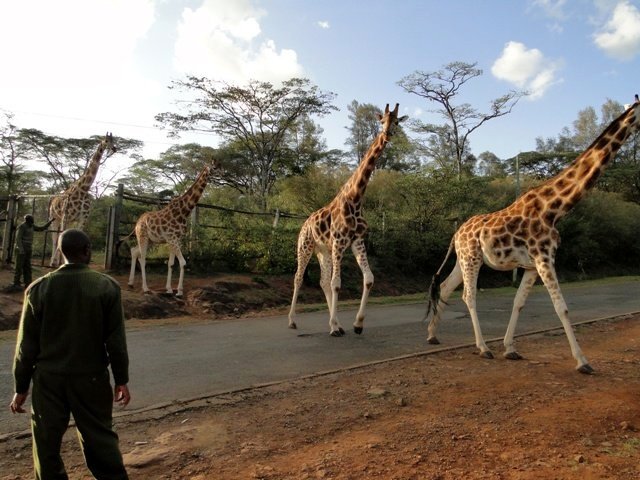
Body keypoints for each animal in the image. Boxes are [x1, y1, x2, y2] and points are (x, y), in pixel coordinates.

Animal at [49, 131, 117, 266]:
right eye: (106, 141)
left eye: (114, 140)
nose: (114, 148)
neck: (83, 189)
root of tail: (53, 200)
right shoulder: (65, 216)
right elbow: (60, 238)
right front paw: (60, 262)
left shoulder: (82, 218)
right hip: (54, 217)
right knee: (55, 238)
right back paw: (53, 262)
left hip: (66, 219)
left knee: (59, 235)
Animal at [127, 159, 222, 298]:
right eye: (215, 168)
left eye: (221, 167)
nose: (223, 175)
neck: (184, 212)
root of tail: (138, 222)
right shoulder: (172, 240)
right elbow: (182, 263)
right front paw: (179, 291)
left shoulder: (176, 240)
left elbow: (171, 264)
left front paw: (169, 289)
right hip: (142, 236)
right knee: (142, 259)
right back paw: (145, 288)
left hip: (151, 240)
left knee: (134, 251)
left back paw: (130, 283)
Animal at [288, 103, 408, 336]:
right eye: (382, 121)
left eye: (397, 122)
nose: (387, 134)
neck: (356, 198)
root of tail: (305, 223)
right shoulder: (339, 241)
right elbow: (337, 283)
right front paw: (336, 327)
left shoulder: (356, 241)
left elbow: (368, 279)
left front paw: (356, 324)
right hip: (305, 246)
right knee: (299, 277)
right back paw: (293, 321)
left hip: (323, 251)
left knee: (323, 281)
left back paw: (336, 324)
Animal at [424, 93, 640, 372]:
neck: (555, 209)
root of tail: (456, 233)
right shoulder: (544, 258)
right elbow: (561, 308)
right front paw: (582, 361)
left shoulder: (530, 266)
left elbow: (519, 303)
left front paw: (510, 348)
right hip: (471, 258)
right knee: (468, 296)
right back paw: (483, 348)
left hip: (465, 259)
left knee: (446, 286)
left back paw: (432, 335)